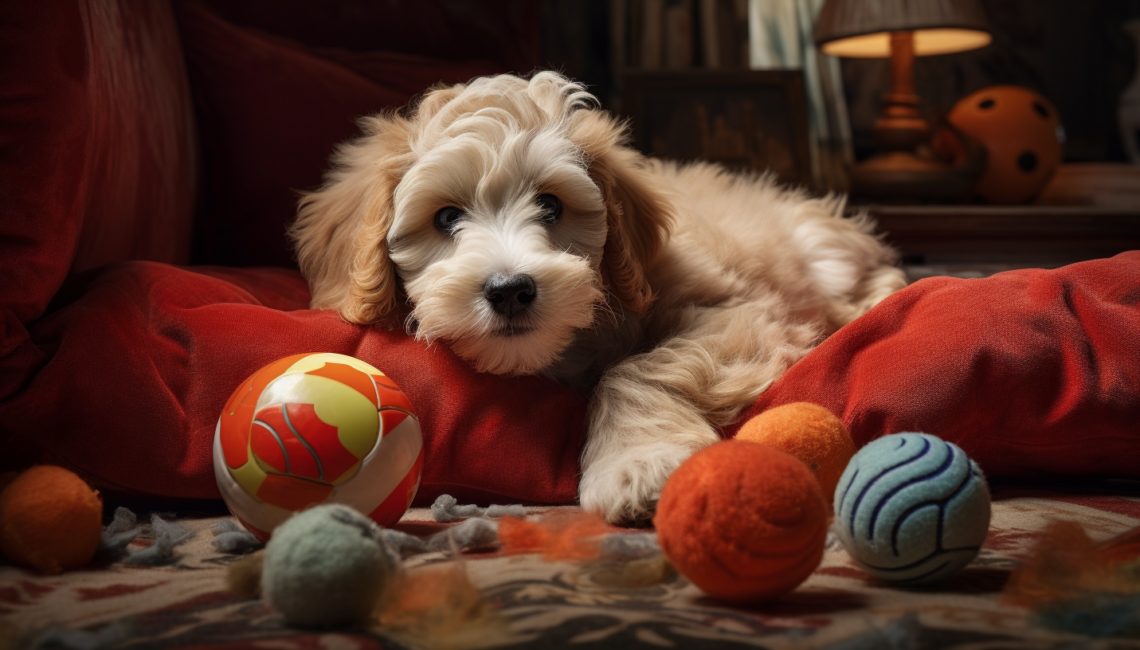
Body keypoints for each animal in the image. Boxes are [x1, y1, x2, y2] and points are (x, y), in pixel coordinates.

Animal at [291, 70, 907, 522]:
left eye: (551, 206)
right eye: (445, 218)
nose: (510, 290)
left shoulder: (738, 311)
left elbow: (634, 369)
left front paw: (639, 464)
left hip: (823, 250)